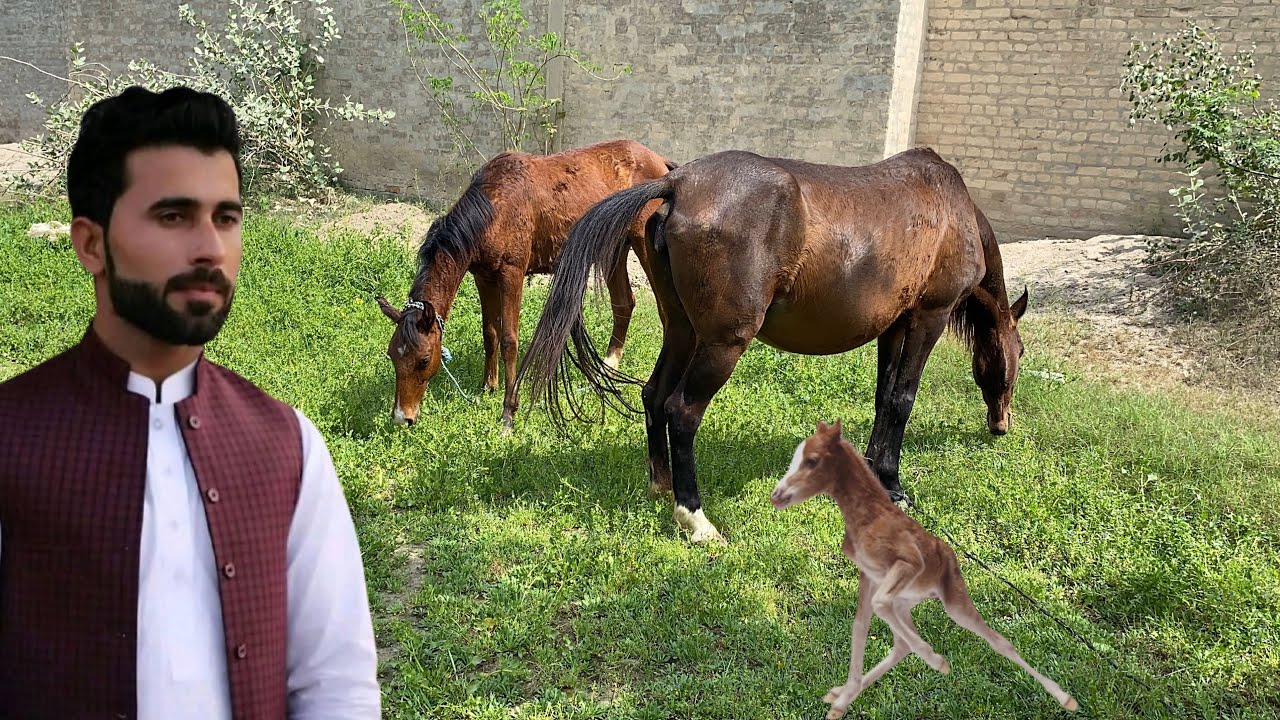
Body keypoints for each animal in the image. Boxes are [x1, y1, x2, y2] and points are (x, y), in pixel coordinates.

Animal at [375, 138, 676, 429]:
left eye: (424, 360)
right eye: (392, 355)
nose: (402, 418)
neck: (494, 209)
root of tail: (660, 162)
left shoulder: (512, 274)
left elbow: (509, 340)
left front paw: (508, 412)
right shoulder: (483, 277)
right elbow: (490, 333)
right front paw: (488, 387)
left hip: (642, 245)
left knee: (664, 311)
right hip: (615, 248)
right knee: (624, 304)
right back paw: (607, 366)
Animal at [516, 147, 1028, 543]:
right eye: (1019, 353)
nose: (1001, 424)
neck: (949, 208)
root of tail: (679, 182)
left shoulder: (895, 325)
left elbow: (884, 398)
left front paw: (876, 472)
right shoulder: (929, 316)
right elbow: (903, 399)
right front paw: (895, 485)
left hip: (683, 331)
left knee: (655, 394)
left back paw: (661, 485)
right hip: (722, 343)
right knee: (682, 410)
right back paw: (696, 519)